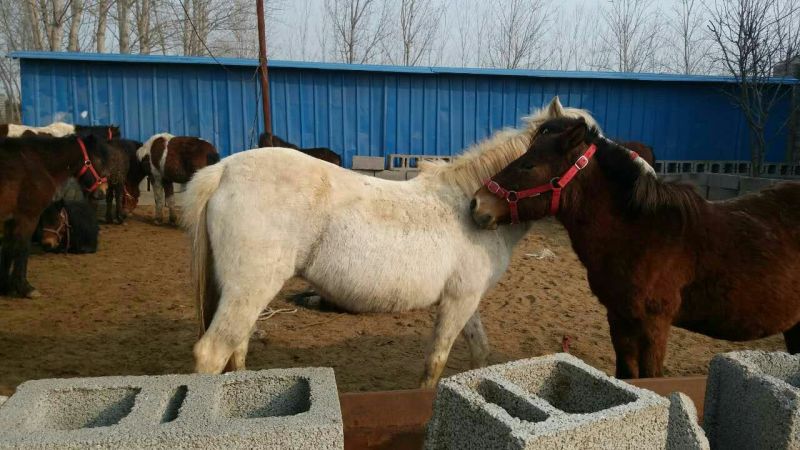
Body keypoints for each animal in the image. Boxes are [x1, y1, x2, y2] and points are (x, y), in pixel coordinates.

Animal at [0, 134, 109, 298]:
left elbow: (7, 249)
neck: (36, 163)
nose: (104, 190)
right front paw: (25, 288)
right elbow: (22, 248)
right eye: (100, 160)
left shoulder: (10, 220)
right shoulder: (28, 217)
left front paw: (6, 287)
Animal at [180, 102, 599, 387]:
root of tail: (224, 170)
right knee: (212, 352)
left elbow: (480, 350)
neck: (464, 204)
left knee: (236, 348)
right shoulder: (458, 302)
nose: (480, 208)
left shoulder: (465, 299)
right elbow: (435, 363)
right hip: (250, 288)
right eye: (527, 160)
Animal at [470, 115, 800, 378]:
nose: (476, 204)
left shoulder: (654, 324)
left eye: (529, 165)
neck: (642, 234)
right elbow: (628, 374)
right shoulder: (620, 318)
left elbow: (650, 377)